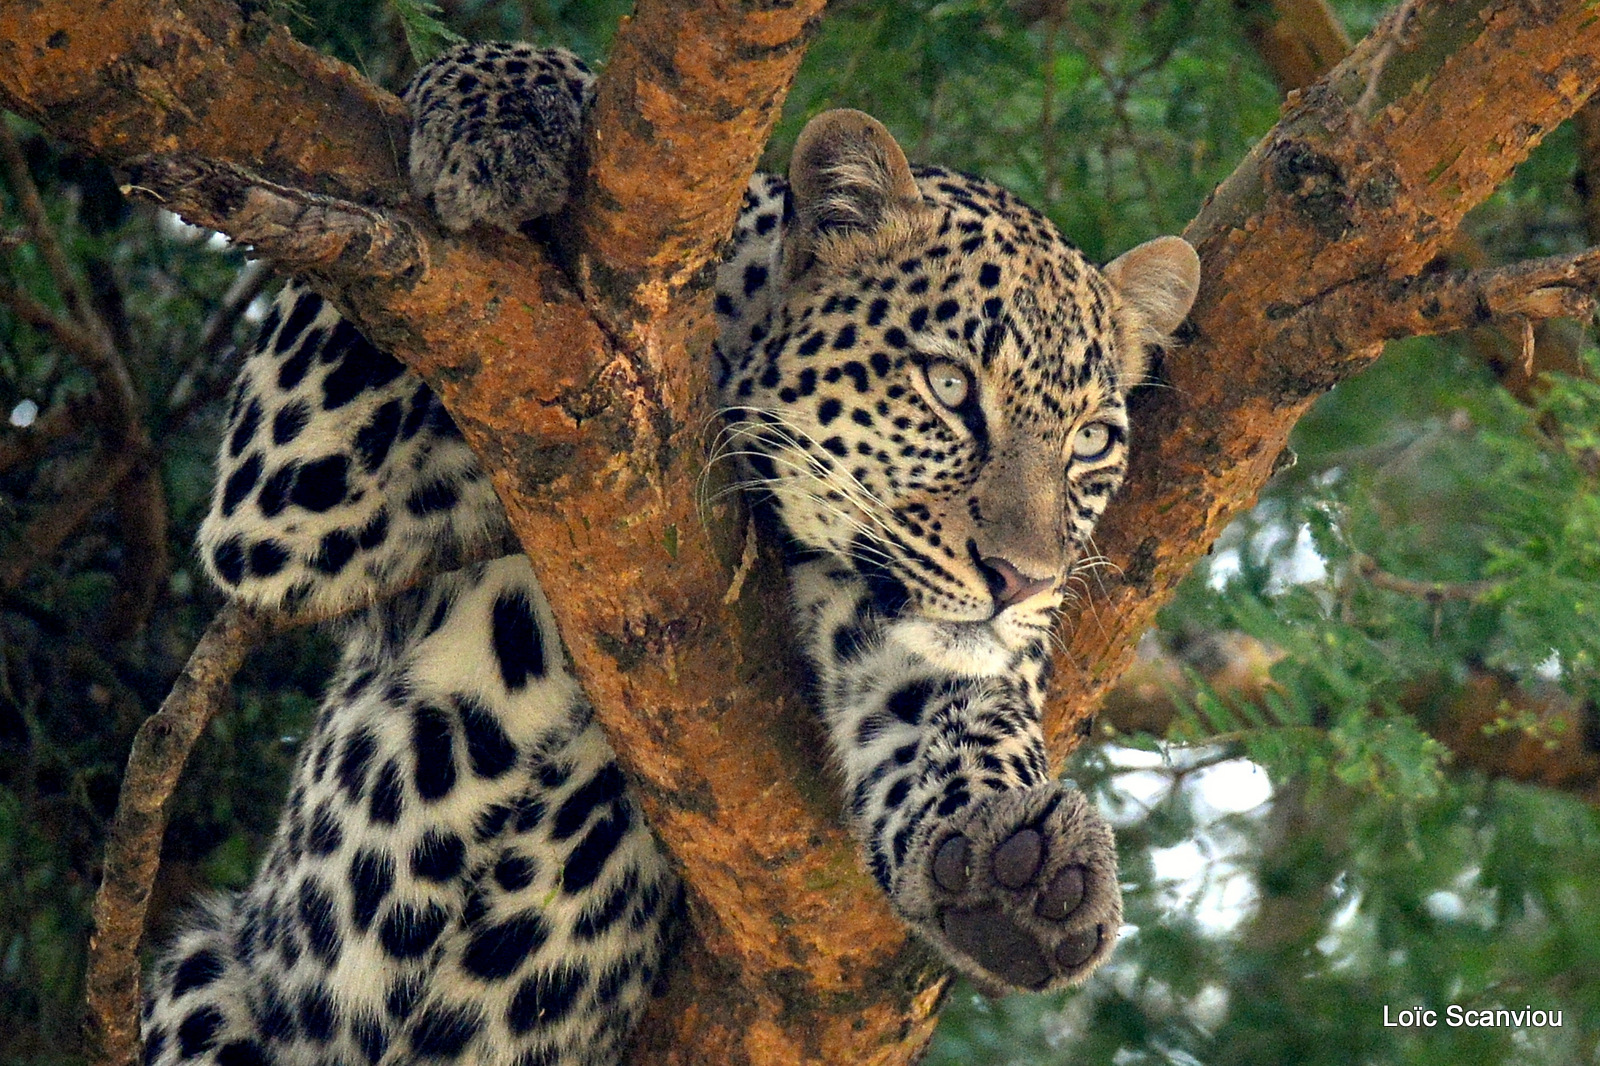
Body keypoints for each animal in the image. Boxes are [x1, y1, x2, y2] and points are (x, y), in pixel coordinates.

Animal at [144, 39, 1203, 1062]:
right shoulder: (292, 501)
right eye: (947, 387)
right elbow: (386, 252)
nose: (1024, 581)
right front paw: (503, 119)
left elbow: (964, 707)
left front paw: (1017, 862)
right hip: (204, 975)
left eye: (1091, 442)